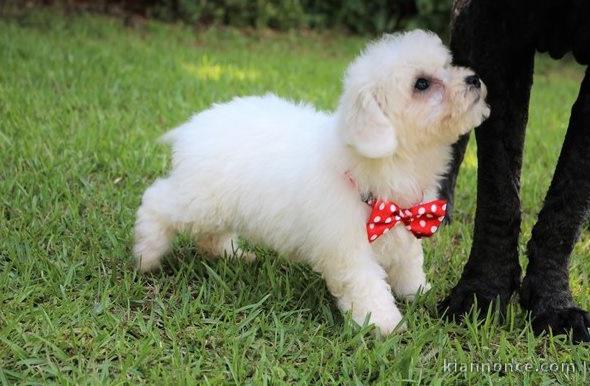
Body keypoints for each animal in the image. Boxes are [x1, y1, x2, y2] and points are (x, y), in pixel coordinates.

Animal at [134, 30, 490, 334]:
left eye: (447, 65)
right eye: (422, 84)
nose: (474, 79)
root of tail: (194, 126)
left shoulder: (408, 222)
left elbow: (409, 263)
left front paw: (418, 292)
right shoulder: (349, 249)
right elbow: (367, 286)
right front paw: (385, 323)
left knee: (210, 234)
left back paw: (230, 254)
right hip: (199, 199)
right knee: (156, 203)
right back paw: (146, 256)